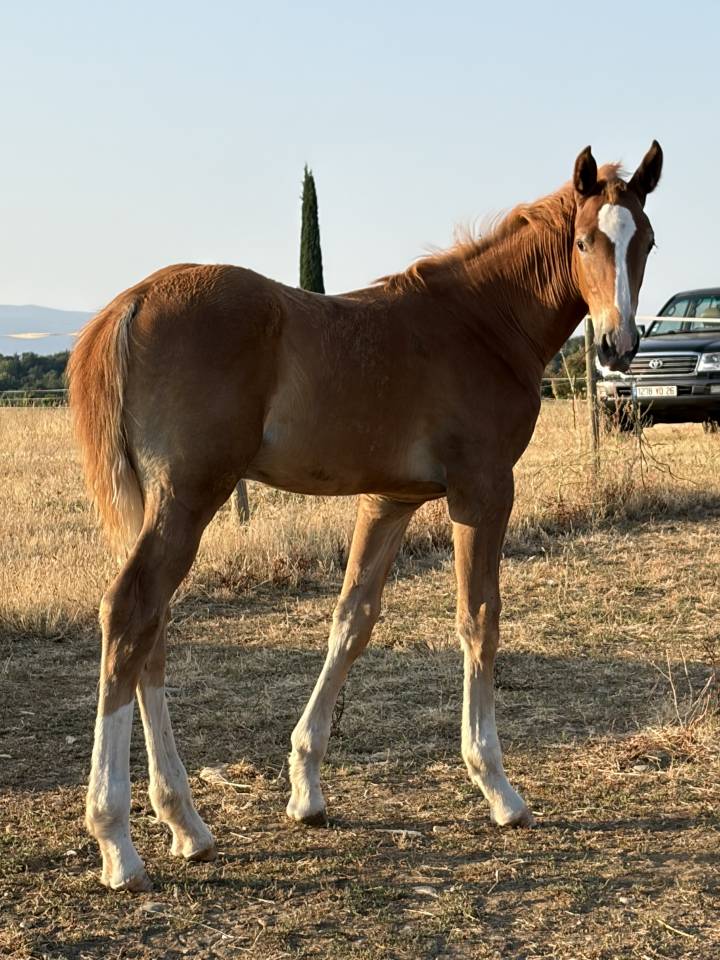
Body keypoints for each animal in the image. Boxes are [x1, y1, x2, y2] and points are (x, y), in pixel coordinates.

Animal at [68, 142, 663, 891]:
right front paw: (498, 787)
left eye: (645, 241)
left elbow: (352, 621)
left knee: (152, 631)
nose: (618, 344)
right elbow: (479, 620)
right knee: (128, 612)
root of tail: (132, 300)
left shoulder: (390, 500)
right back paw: (118, 841)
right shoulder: (482, 491)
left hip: (155, 505)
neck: (482, 322)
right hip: (190, 496)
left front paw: (306, 789)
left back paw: (187, 825)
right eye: (584, 240)